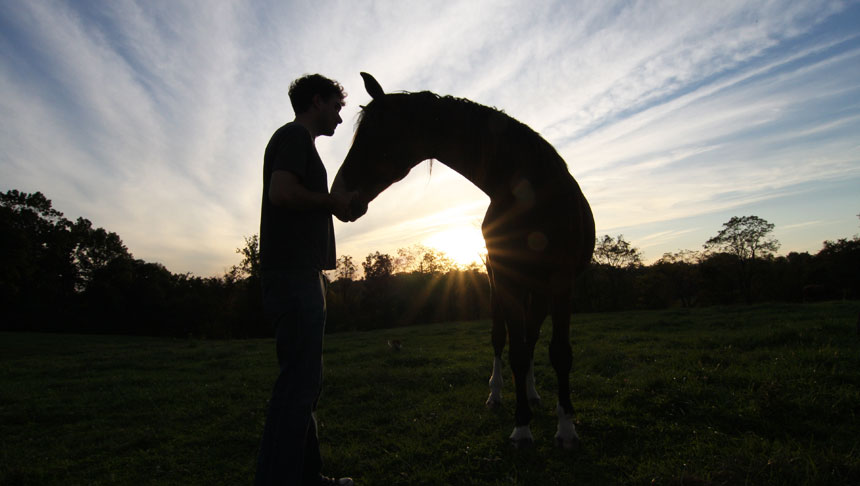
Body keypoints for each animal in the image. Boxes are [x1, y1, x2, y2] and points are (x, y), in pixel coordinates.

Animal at [331, 73, 595, 449]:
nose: (338, 198)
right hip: (501, 285)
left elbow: (559, 352)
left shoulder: (561, 282)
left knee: (530, 337)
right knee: (505, 339)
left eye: (377, 134)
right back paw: (498, 396)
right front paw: (521, 428)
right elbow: (515, 352)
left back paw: (532, 395)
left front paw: (567, 428)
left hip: (540, 290)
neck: (532, 192)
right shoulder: (507, 280)